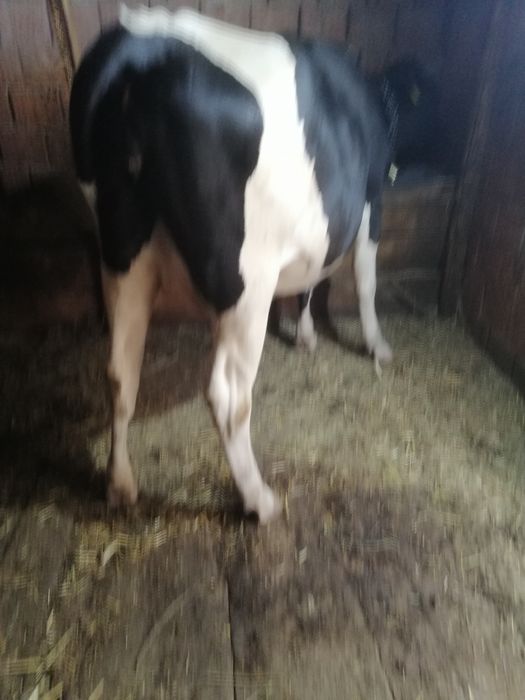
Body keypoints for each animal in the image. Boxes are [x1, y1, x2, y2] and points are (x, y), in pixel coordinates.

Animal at [70, 4, 437, 523]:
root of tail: (143, 49)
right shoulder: (370, 200)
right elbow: (364, 279)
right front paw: (376, 344)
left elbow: (309, 281)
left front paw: (306, 336)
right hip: (247, 281)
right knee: (228, 397)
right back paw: (258, 500)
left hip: (122, 253)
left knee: (120, 372)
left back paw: (120, 484)